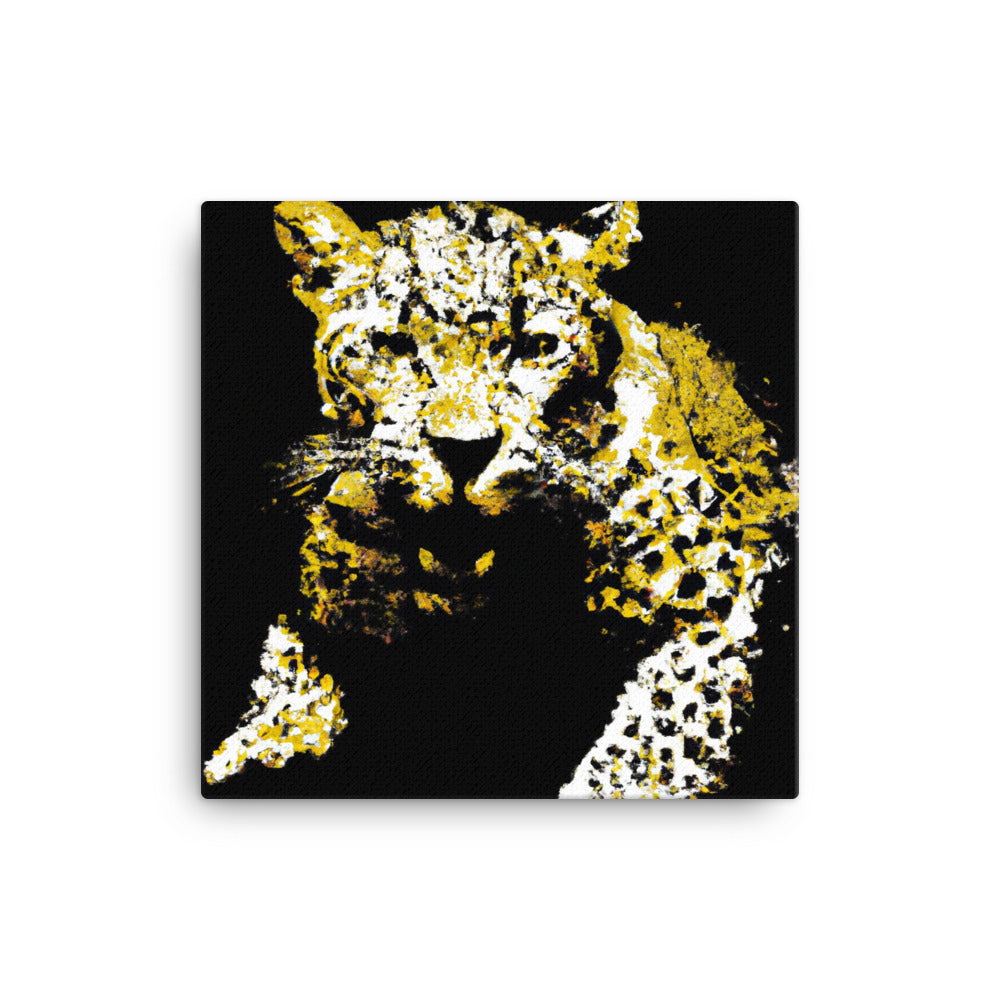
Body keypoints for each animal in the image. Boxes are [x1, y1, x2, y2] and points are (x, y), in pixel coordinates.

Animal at [203, 200, 797, 798]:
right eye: (393, 347)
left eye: (537, 348)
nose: (463, 449)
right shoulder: (320, 603)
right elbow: (288, 687)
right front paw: (248, 750)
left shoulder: (714, 587)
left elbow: (649, 740)